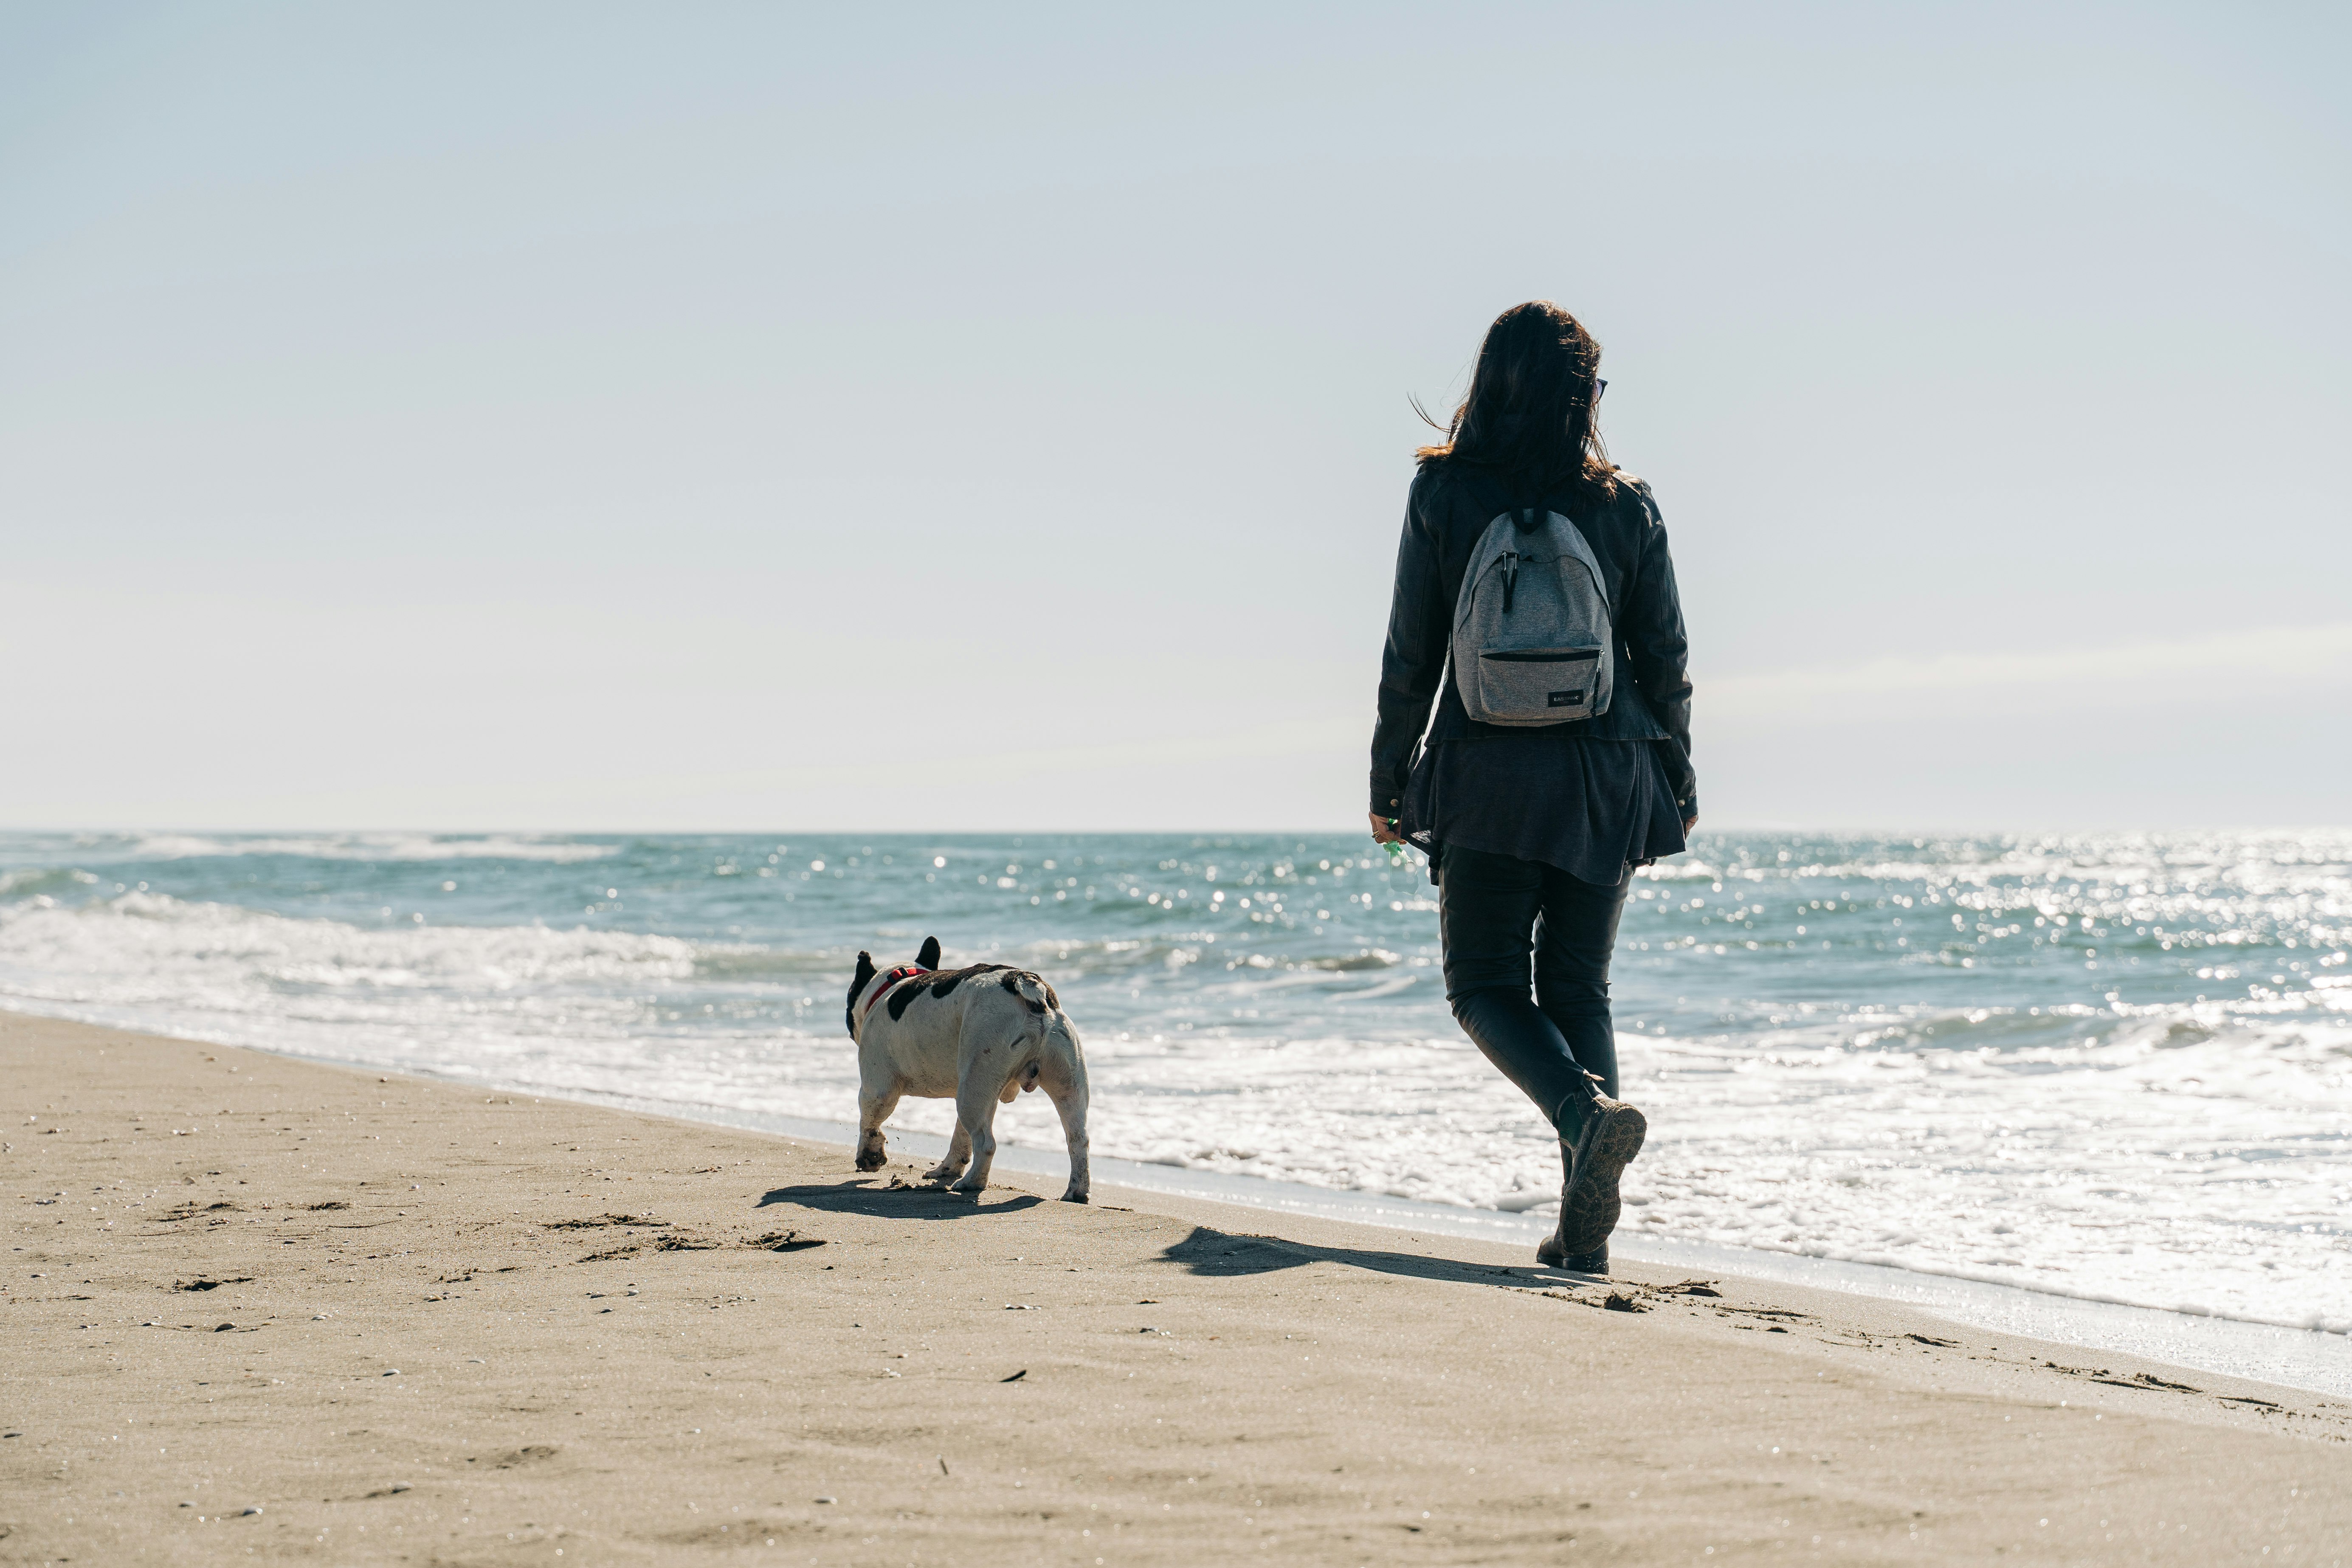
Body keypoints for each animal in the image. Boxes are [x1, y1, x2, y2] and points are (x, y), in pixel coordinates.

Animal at [847, 940, 1091, 1213]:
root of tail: (1026, 983)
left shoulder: (877, 1088)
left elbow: (869, 1122)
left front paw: (869, 1156)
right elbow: (960, 1135)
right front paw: (948, 1168)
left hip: (974, 1083)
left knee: (986, 1143)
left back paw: (972, 1183)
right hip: (1058, 1081)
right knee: (1078, 1138)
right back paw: (1077, 1191)